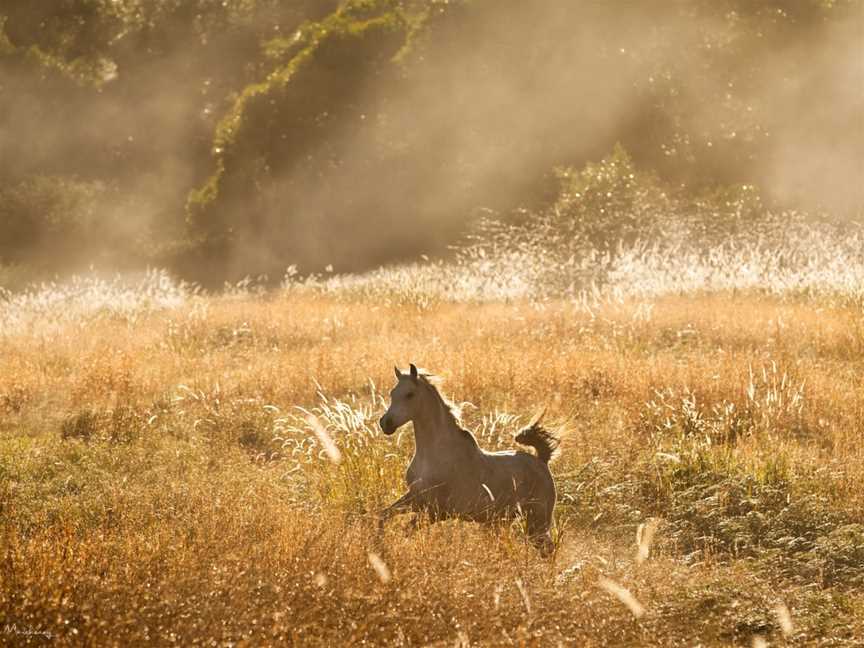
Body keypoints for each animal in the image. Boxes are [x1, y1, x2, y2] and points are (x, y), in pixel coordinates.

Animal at [380, 362, 560, 556]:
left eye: (410, 394)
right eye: (392, 393)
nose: (385, 423)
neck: (434, 453)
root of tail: (541, 461)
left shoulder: (435, 511)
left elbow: (406, 530)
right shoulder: (415, 498)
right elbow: (383, 515)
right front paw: (379, 546)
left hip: (538, 520)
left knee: (548, 549)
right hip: (511, 519)